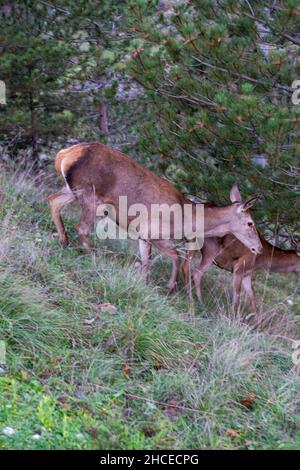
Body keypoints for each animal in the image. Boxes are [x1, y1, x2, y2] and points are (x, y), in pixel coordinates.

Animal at [48, 142, 262, 290]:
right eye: (251, 223)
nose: (259, 248)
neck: (186, 221)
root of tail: (64, 154)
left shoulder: (142, 235)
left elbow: (146, 262)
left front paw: (143, 283)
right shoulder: (155, 232)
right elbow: (175, 256)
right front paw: (170, 286)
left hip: (73, 189)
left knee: (52, 200)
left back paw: (64, 242)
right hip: (90, 194)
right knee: (82, 227)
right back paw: (92, 256)